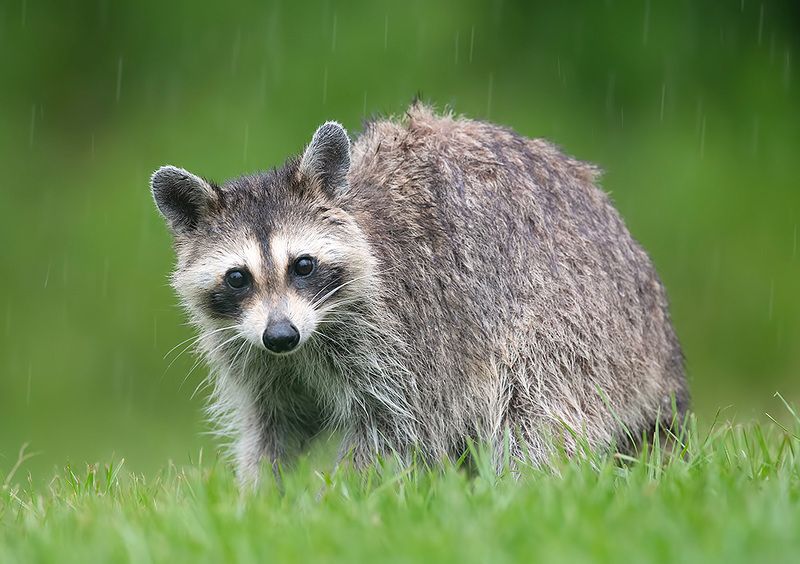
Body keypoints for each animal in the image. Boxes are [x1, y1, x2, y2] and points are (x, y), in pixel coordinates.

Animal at [151, 103, 688, 486]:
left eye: (302, 265)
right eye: (237, 277)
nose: (281, 335)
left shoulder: (408, 334)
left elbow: (399, 430)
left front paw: (344, 499)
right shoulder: (256, 356)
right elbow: (275, 427)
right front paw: (263, 499)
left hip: (580, 321)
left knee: (538, 410)